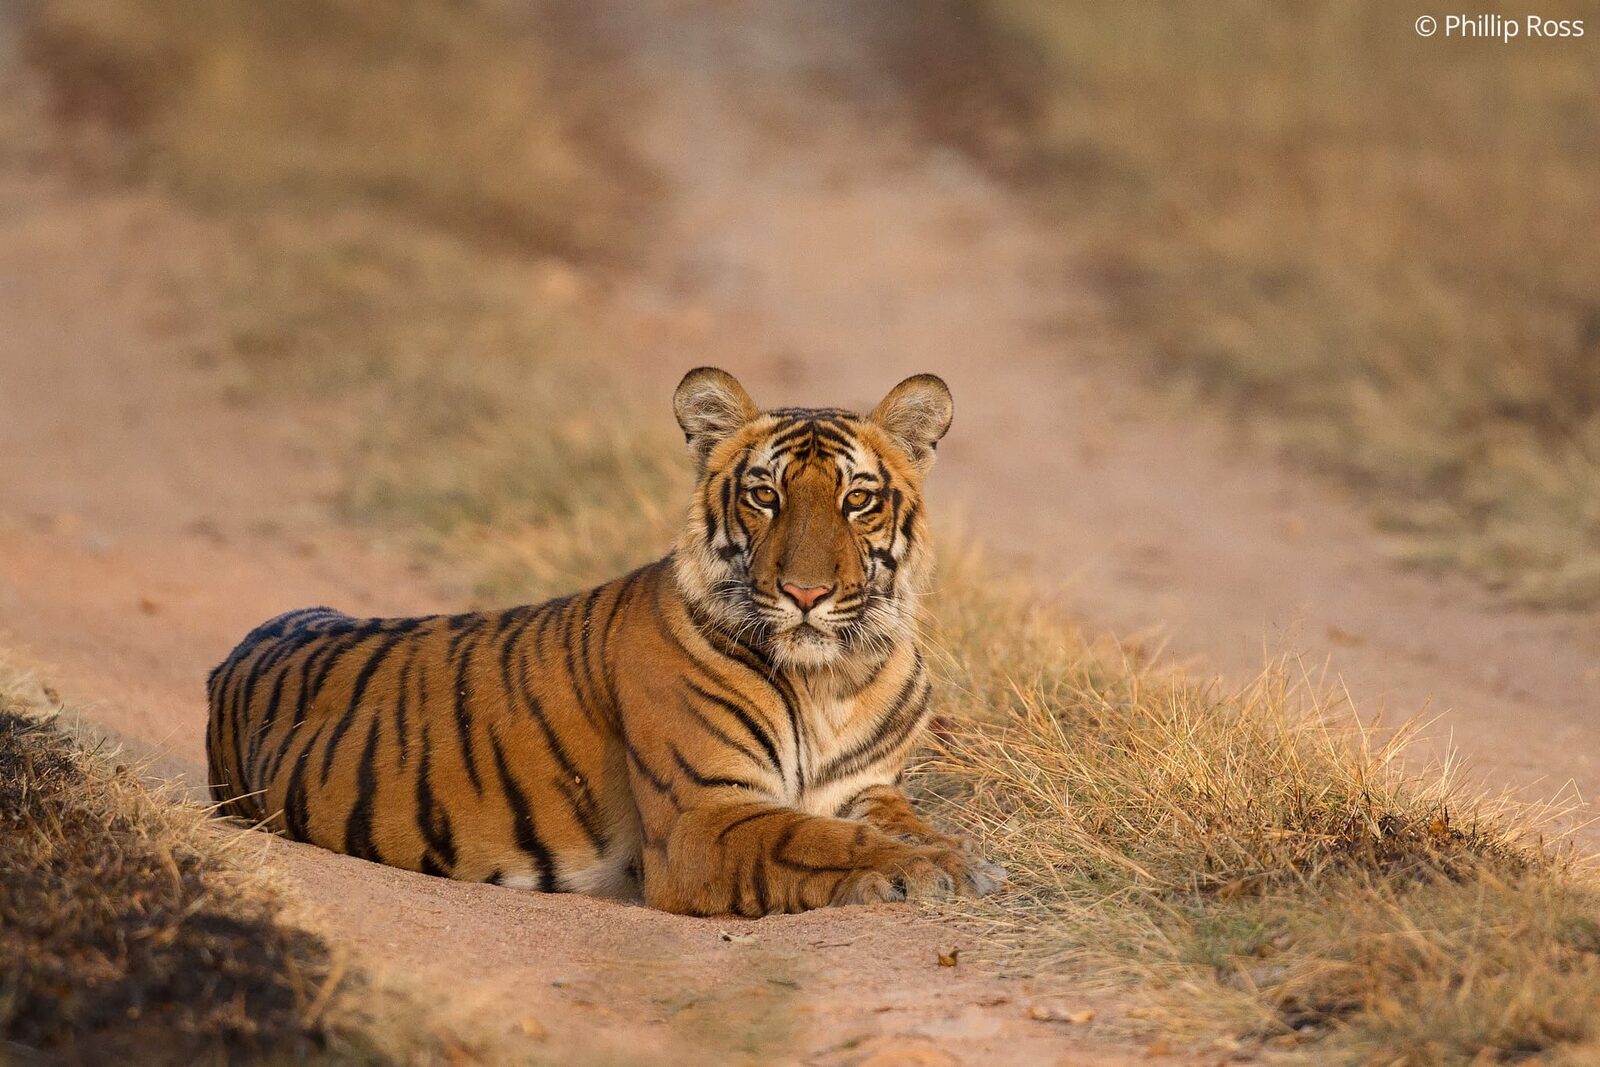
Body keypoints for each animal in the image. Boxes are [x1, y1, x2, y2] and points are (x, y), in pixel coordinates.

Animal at [206, 367, 1004, 915]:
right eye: (764, 495)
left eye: (857, 499)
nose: (804, 594)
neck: (832, 678)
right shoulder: (702, 816)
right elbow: (817, 839)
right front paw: (938, 869)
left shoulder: (866, 787)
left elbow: (907, 823)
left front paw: (957, 853)